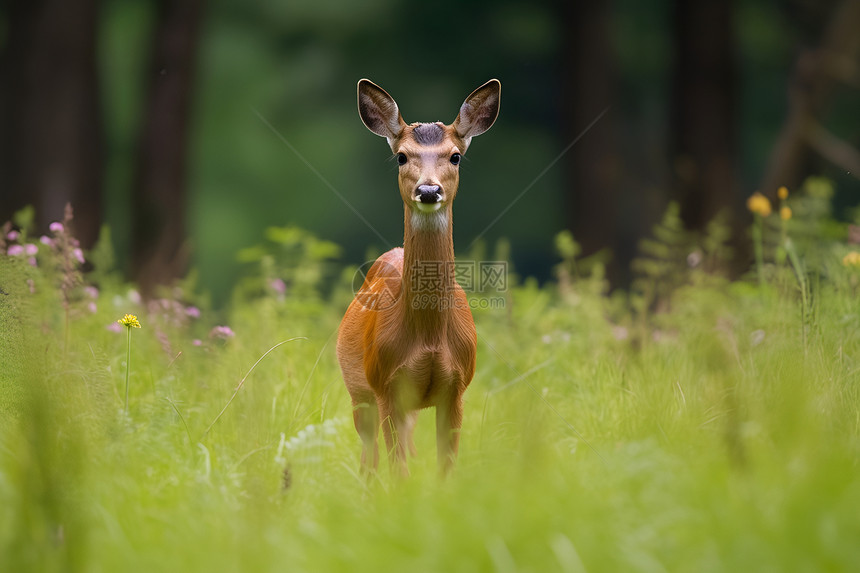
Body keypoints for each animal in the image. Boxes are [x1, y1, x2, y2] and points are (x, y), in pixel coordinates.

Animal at [334, 78, 498, 476]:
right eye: (401, 156)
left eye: (455, 156)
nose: (428, 190)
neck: (429, 338)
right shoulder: (386, 386)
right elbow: (399, 473)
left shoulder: (456, 389)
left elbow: (444, 470)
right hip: (360, 393)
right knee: (370, 459)